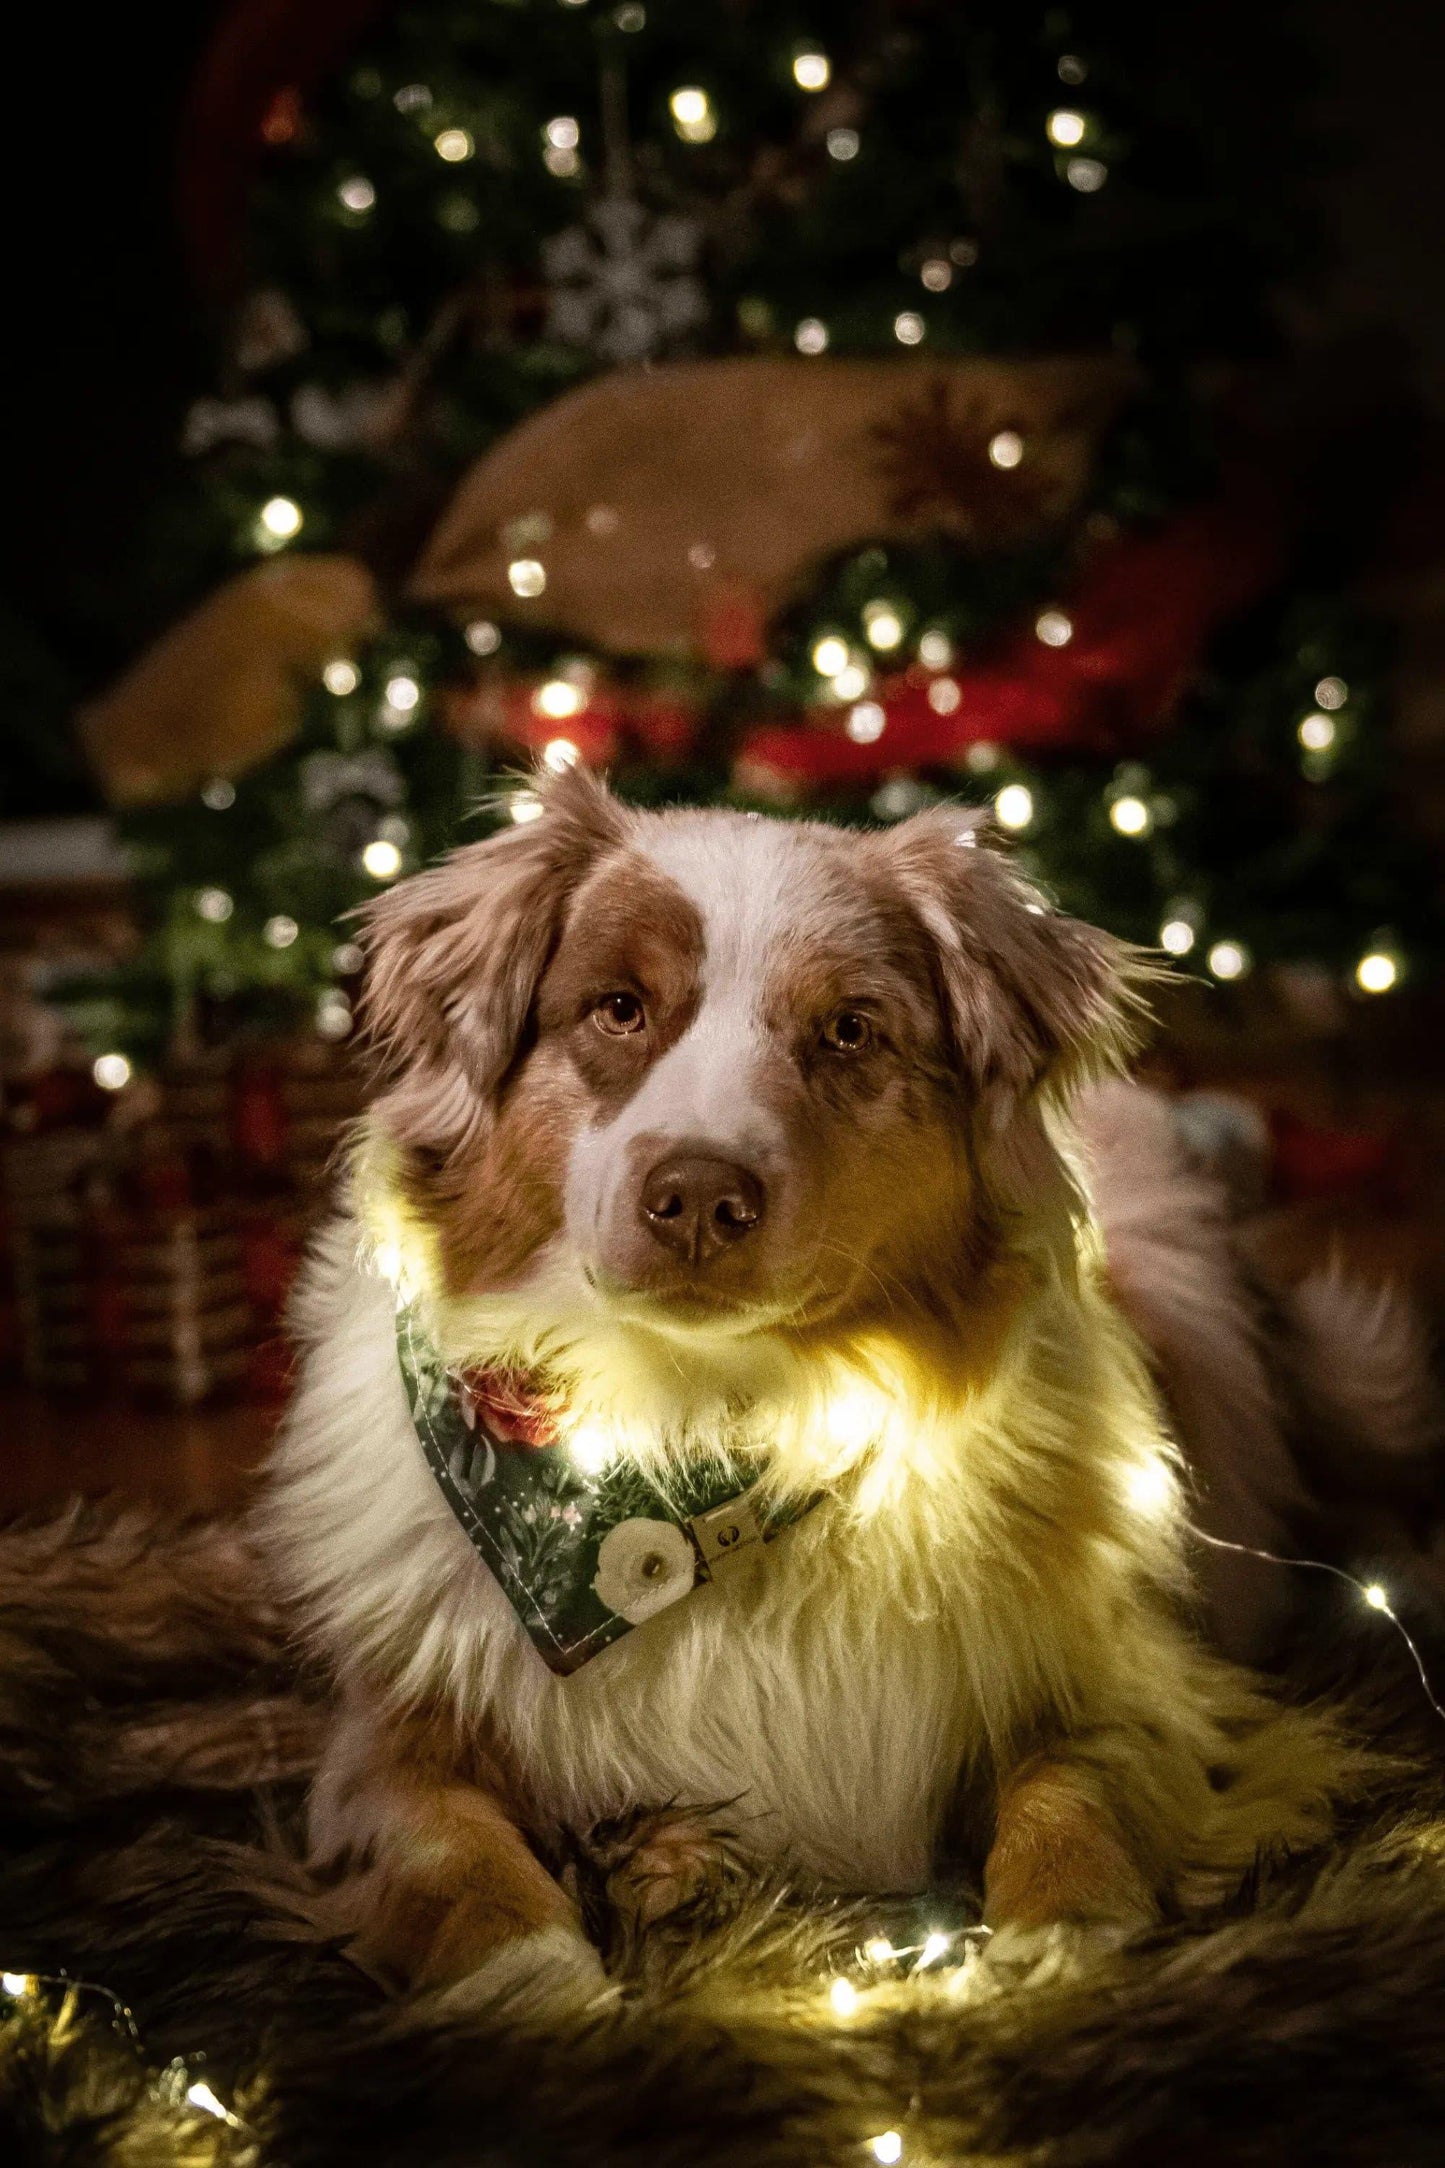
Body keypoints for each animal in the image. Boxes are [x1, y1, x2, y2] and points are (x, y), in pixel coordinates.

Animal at [259, 763, 1360, 2011]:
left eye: (848, 1029)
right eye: (617, 1008)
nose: (697, 1195)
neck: (691, 1426)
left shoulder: (1130, 1682)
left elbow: (1069, 1793)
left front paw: (1063, 1939)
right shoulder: (378, 1748)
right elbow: (460, 1853)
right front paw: (535, 1986)